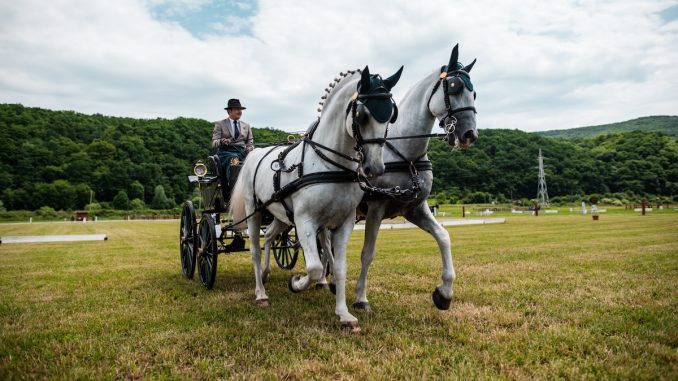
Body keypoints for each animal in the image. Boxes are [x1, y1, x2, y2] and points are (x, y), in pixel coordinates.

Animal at [234, 64, 404, 330]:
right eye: (361, 115)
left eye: (391, 116)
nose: (375, 168)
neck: (330, 163)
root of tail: (254, 154)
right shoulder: (305, 221)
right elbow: (314, 267)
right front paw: (296, 283)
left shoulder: (343, 223)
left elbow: (339, 266)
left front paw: (344, 313)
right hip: (255, 210)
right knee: (254, 249)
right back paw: (260, 292)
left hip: (281, 214)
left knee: (270, 236)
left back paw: (265, 273)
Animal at [354, 44, 480, 312]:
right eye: (453, 87)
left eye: (474, 93)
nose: (469, 135)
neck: (406, 155)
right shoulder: (376, 208)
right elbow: (368, 253)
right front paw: (361, 298)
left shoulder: (415, 208)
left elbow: (444, 236)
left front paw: (444, 293)